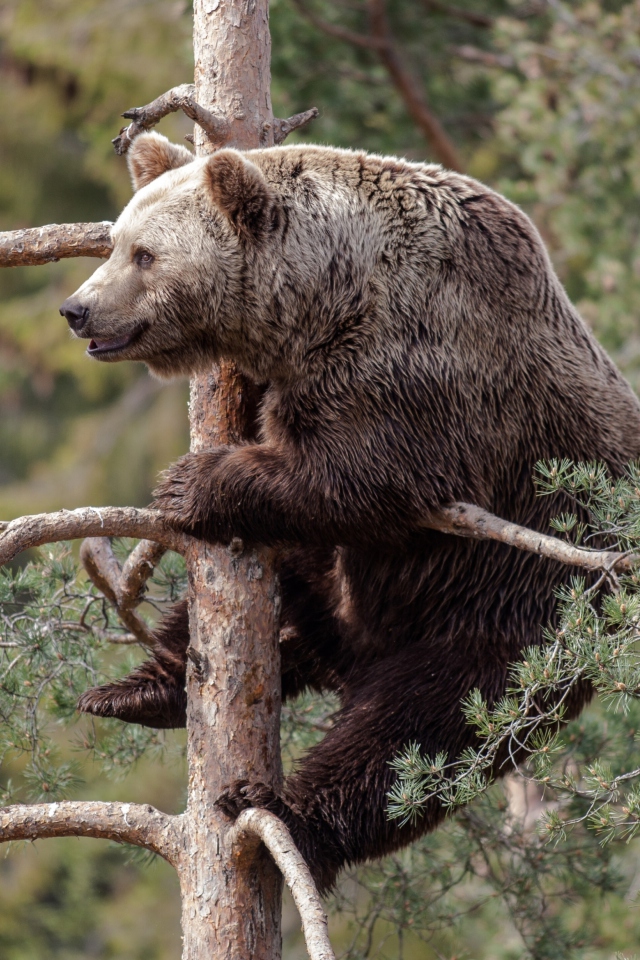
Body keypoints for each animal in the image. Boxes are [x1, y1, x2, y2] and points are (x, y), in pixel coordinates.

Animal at [61, 133, 640, 892]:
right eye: (115, 242)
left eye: (145, 255)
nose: (77, 309)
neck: (324, 299)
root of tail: (354, 656)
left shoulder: (419, 366)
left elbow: (368, 476)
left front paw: (191, 484)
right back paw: (140, 689)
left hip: (522, 608)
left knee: (419, 733)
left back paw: (284, 812)